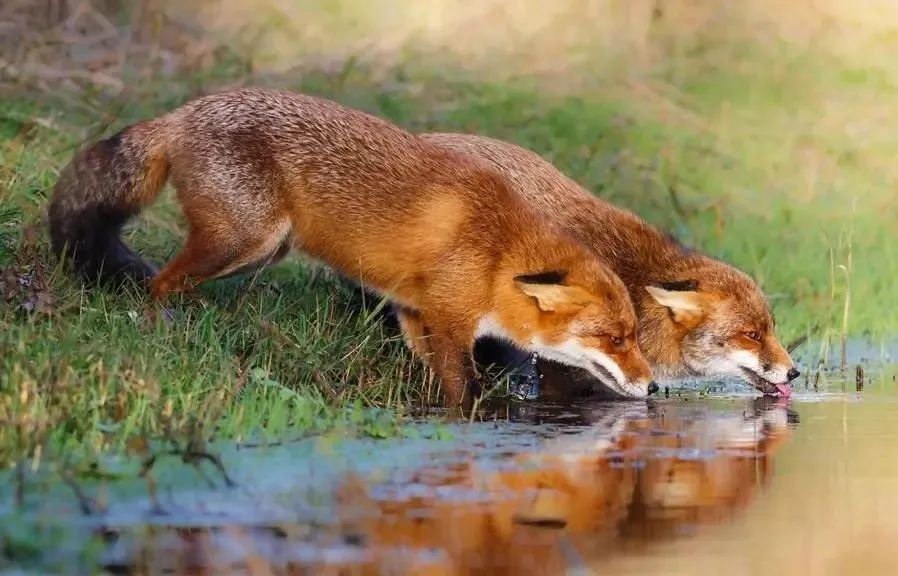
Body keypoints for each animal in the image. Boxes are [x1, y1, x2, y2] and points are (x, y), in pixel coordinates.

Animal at [47, 89, 652, 404]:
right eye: (615, 338)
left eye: (633, 336)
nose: (652, 385)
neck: (496, 253)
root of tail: (187, 110)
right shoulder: (451, 323)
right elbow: (465, 392)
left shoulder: (415, 313)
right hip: (246, 239)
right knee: (159, 282)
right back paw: (161, 328)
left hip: (263, 248)